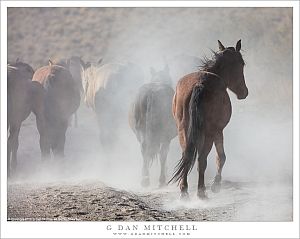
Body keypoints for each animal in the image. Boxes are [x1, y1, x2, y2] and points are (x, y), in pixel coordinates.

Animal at [169, 39, 248, 200]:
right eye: (242, 64)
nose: (244, 92)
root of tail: (200, 84)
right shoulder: (218, 131)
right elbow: (221, 157)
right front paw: (216, 185)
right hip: (210, 133)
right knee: (202, 160)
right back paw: (201, 191)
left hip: (183, 130)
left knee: (187, 156)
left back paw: (184, 190)